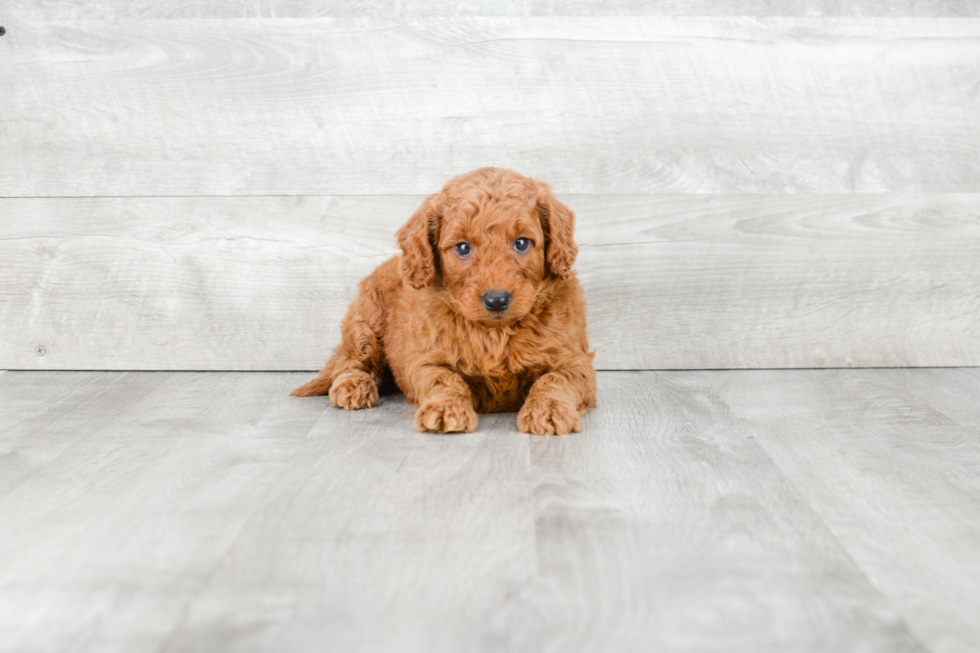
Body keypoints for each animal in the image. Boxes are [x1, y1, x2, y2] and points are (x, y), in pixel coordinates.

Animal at [290, 166, 596, 436]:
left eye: (522, 243)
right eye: (462, 248)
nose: (496, 300)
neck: (495, 333)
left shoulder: (577, 362)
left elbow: (555, 378)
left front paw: (549, 410)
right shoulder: (425, 359)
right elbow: (445, 379)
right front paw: (446, 409)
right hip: (366, 322)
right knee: (351, 361)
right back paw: (355, 385)